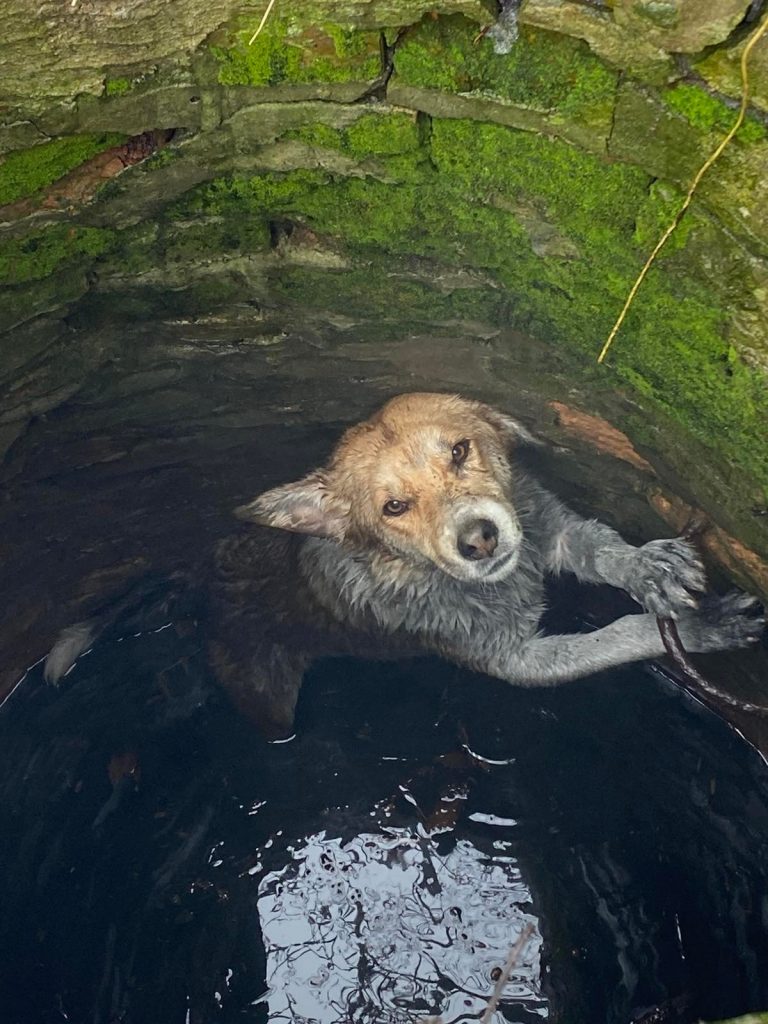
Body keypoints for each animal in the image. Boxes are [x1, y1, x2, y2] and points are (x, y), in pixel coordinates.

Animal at [201, 391, 765, 737]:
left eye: (459, 450)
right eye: (393, 507)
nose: (479, 540)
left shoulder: (553, 530)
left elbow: (606, 552)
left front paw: (652, 569)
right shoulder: (518, 662)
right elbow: (622, 635)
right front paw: (702, 627)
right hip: (267, 699)